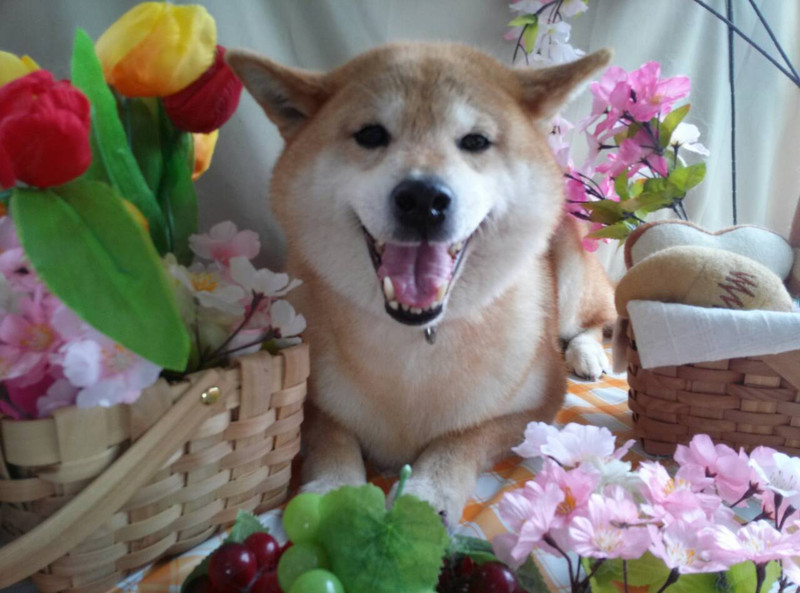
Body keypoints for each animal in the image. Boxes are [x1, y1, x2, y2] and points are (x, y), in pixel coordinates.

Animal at [227, 43, 616, 522]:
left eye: (475, 141)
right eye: (371, 134)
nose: (423, 198)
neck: (415, 343)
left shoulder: (539, 405)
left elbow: (463, 436)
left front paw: (430, 491)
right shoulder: (309, 398)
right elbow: (330, 434)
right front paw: (336, 488)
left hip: (573, 281)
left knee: (596, 320)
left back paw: (587, 353)